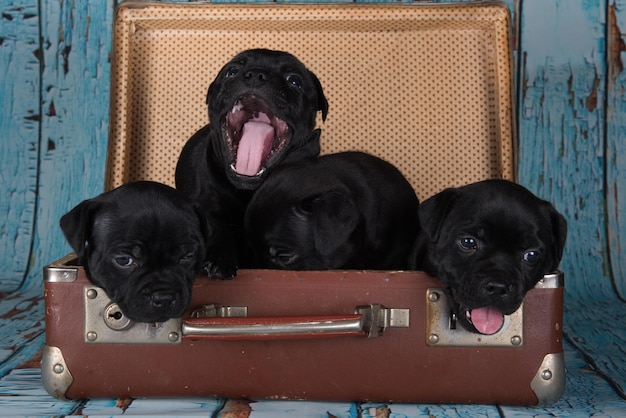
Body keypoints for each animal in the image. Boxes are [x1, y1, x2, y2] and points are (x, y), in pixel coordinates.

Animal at [174, 48, 326, 278]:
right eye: (232, 71)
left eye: (294, 80)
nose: (256, 74)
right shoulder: (205, 203)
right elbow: (216, 223)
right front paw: (218, 257)